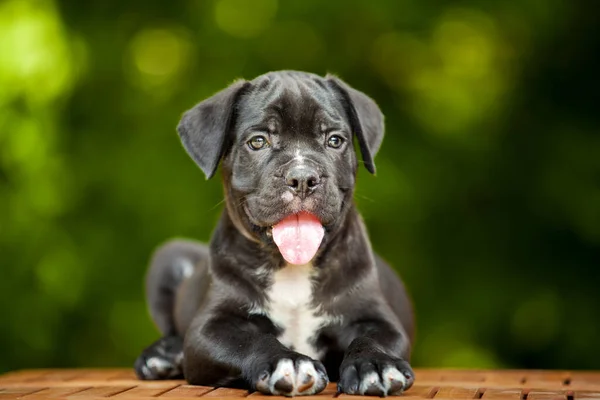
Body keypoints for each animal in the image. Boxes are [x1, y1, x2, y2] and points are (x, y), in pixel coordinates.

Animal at [134, 70, 414, 396]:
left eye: (334, 140)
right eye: (258, 141)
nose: (303, 177)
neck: (292, 268)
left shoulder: (379, 320)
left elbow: (373, 339)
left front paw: (377, 364)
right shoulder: (210, 328)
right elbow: (249, 340)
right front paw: (288, 362)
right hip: (170, 256)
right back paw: (163, 356)